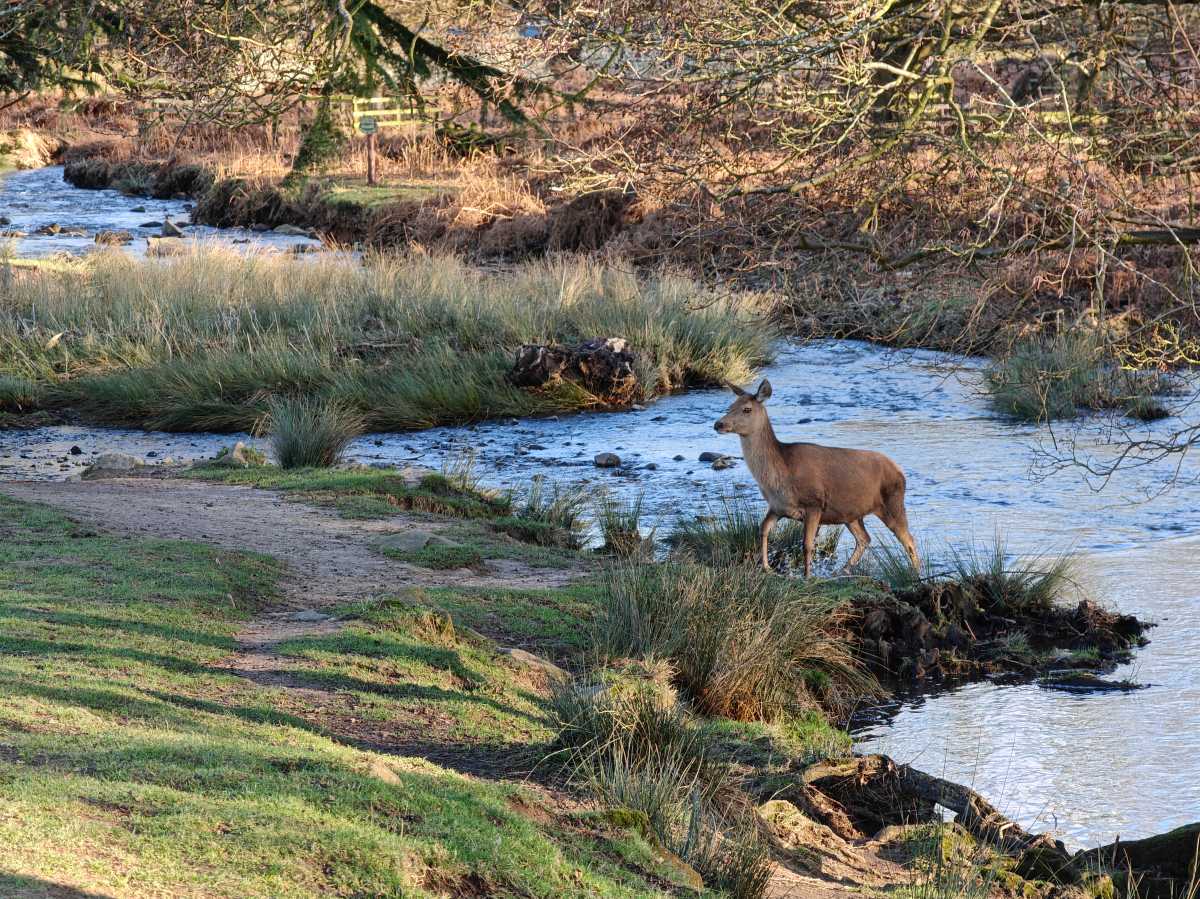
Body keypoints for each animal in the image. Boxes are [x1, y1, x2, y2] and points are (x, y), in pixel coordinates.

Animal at [710, 376, 916, 576]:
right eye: (730, 406)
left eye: (747, 409)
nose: (718, 424)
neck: (781, 474)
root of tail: (899, 470)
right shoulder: (776, 507)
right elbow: (763, 530)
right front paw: (766, 567)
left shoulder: (814, 503)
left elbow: (807, 545)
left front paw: (807, 577)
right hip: (851, 514)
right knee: (864, 538)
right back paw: (842, 571)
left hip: (893, 501)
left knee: (909, 540)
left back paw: (916, 574)